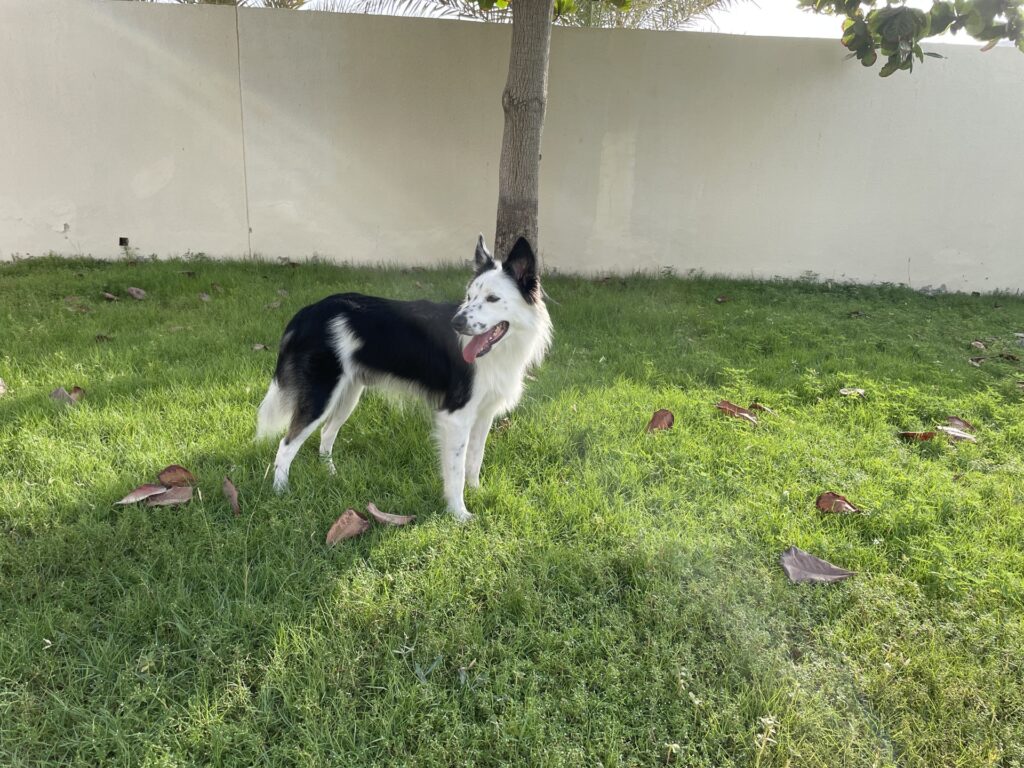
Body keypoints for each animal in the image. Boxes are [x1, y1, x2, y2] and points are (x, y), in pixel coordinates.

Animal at [260, 236, 557, 524]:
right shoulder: (456, 416)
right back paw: (281, 493)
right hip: (321, 393)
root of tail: (308, 311)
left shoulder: (484, 414)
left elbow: (475, 458)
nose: (457, 323)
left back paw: (330, 474)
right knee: (286, 445)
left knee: (326, 432)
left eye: (493, 298)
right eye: (470, 296)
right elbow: (456, 470)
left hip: (348, 393)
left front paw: (477, 492)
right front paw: (459, 513)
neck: (499, 350)